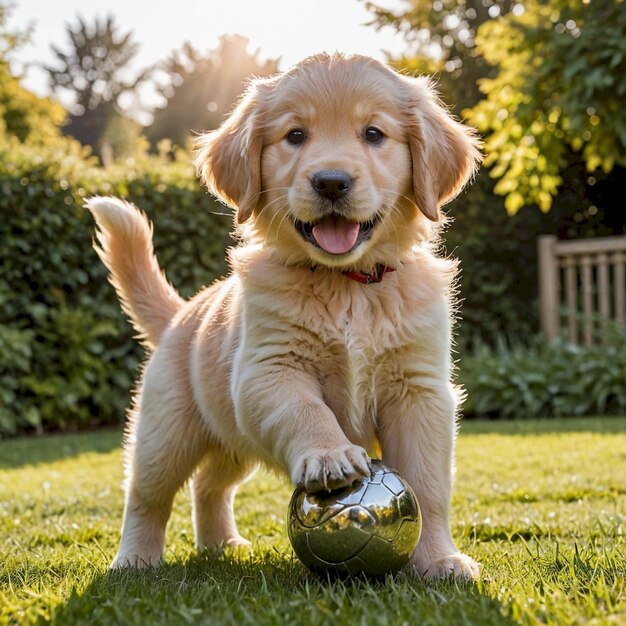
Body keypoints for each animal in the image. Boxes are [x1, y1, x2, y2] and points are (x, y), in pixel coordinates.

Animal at [85, 51, 480, 576]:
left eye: (374, 134)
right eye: (295, 135)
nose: (331, 182)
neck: (345, 283)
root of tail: (181, 314)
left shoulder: (419, 389)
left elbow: (429, 485)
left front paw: (438, 560)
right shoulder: (268, 369)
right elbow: (306, 409)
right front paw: (330, 455)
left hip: (231, 438)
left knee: (210, 484)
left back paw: (222, 545)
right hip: (165, 430)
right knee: (147, 494)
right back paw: (134, 559)